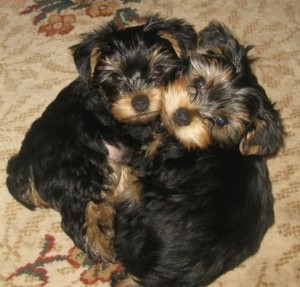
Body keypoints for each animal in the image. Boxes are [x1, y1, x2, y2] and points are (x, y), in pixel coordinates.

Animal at [5, 15, 198, 264]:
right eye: (115, 77)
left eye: (158, 71)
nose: (140, 101)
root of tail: (22, 164)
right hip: (80, 160)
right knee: (78, 215)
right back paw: (107, 247)